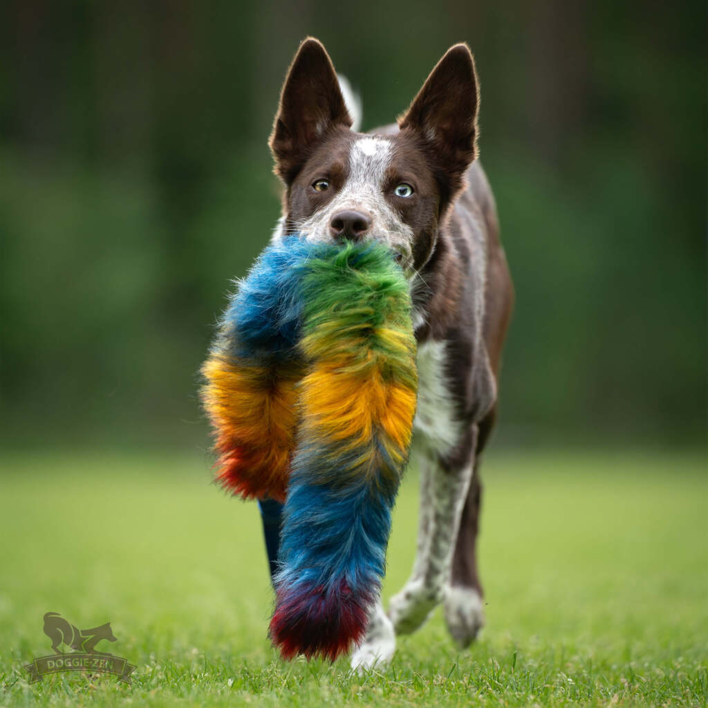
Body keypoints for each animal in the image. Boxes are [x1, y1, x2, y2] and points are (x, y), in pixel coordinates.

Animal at [266, 37, 516, 668]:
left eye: (402, 190)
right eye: (321, 184)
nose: (349, 221)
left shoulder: (452, 435)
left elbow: (431, 563)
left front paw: (396, 620)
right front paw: (364, 634)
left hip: (483, 400)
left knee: (468, 506)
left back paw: (464, 606)